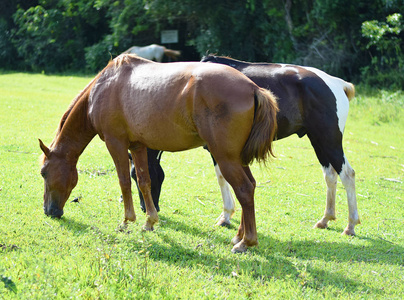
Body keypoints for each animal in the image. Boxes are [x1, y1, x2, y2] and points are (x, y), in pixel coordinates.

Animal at [38, 54, 278, 253]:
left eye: (43, 173)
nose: (49, 211)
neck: (104, 87)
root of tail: (253, 88)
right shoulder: (137, 146)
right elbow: (144, 181)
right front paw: (149, 221)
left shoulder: (116, 144)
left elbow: (124, 182)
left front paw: (127, 221)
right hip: (237, 158)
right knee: (250, 186)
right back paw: (238, 236)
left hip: (225, 158)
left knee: (244, 190)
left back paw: (246, 242)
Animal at [131, 55, 358, 236]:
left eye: (136, 176)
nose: (146, 208)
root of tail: (337, 83)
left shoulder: (218, 150)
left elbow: (222, 177)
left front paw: (226, 216)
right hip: (318, 140)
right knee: (330, 175)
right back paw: (326, 219)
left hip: (329, 140)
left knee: (347, 174)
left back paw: (351, 225)